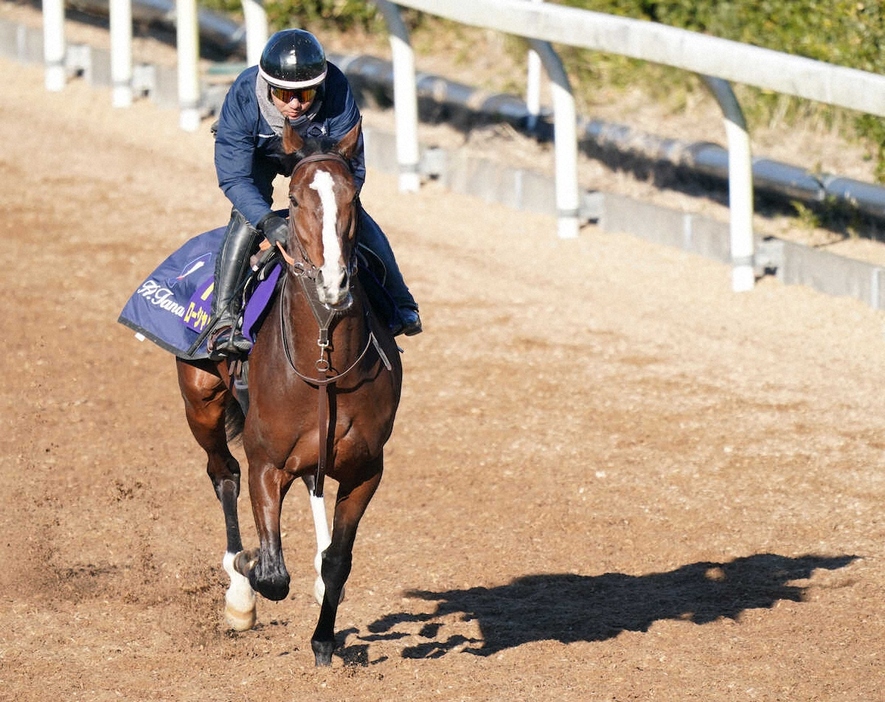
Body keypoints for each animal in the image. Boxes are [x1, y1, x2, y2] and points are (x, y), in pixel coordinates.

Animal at [172, 119, 404, 664]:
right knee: (223, 474)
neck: (324, 364)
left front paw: (323, 639)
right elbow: (273, 574)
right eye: (295, 200)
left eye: (353, 196)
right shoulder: (267, 461)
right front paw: (250, 569)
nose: (334, 282)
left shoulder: (366, 469)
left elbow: (338, 561)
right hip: (201, 403)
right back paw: (239, 590)